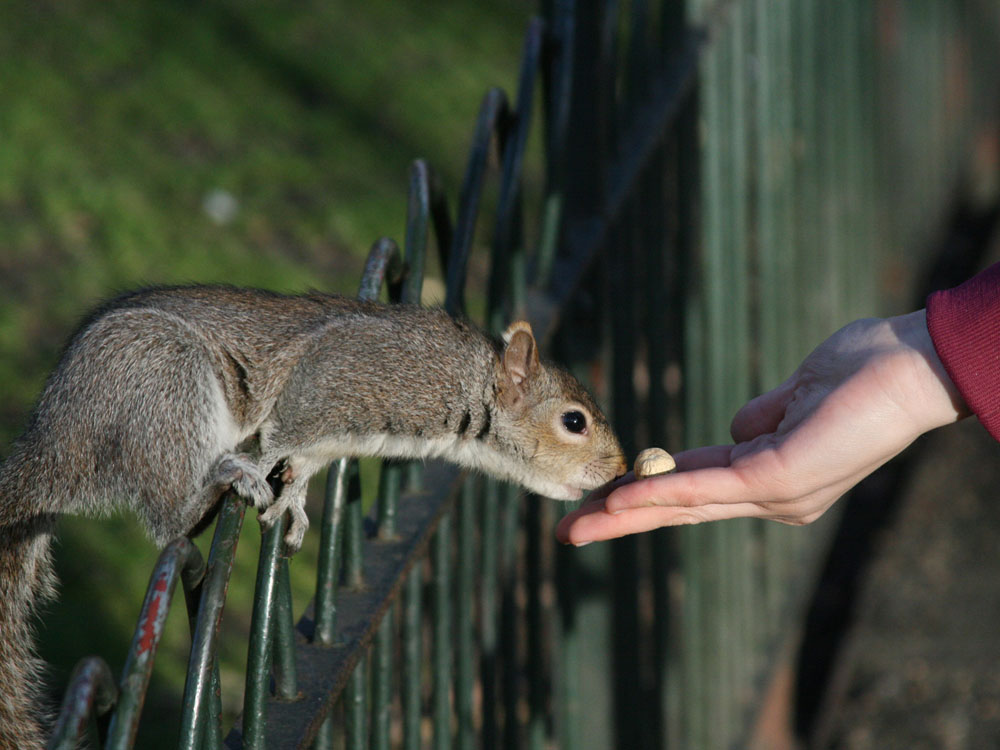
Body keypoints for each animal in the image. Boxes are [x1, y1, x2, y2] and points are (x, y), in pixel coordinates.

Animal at [0, 284, 624, 748]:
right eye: (574, 422)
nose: (617, 470)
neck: (468, 383)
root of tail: (53, 444)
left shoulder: (328, 437)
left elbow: (301, 462)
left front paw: (295, 502)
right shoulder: (337, 382)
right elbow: (285, 432)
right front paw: (266, 471)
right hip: (160, 385)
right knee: (171, 517)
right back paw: (220, 483)